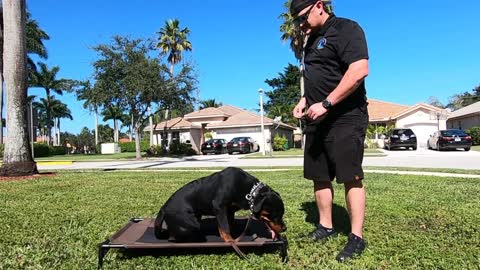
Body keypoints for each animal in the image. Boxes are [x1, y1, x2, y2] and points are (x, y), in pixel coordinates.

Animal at [156, 167, 286, 243]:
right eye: (275, 215)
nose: (285, 228)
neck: (250, 192)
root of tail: (163, 208)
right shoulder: (219, 206)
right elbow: (224, 227)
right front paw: (230, 240)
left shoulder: (229, 210)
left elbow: (229, 224)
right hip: (190, 222)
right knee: (173, 237)